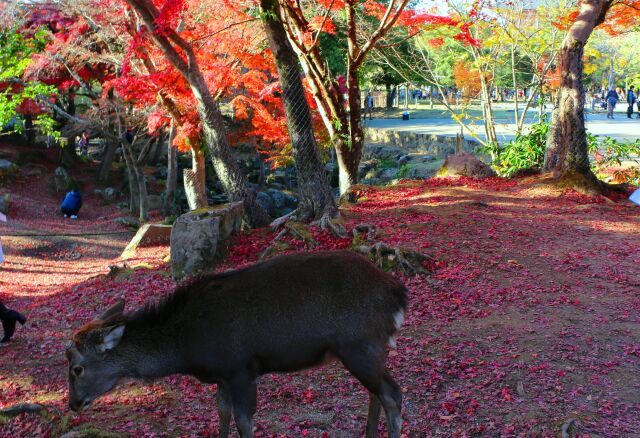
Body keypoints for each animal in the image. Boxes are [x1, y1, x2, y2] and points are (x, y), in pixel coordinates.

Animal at [67, 250, 408, 438]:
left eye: (77, 368)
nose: (73, 404)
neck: (188, 347)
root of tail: (398, 294)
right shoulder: (223, 376)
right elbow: (222, 413)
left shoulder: (241, 369)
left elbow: (244, 422)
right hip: (368, 351)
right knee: (376, 392)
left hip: (359, 345)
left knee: (392, 393)